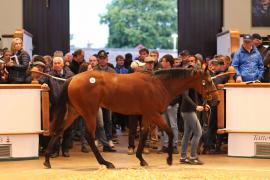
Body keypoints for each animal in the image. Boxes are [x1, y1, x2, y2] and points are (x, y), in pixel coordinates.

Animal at [42, 67, 219, 169]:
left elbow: (144, 134)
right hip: (89, 113)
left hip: (74, 112)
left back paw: (47, 160)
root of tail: (73, 78)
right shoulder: (154, 114)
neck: (159, 84)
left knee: (58, 130)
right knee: (90, 137)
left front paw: (141, 159)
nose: (216, 100)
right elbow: (170, 132)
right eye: (208, 81)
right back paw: (106, 163)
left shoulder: (147, 115)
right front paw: (169, 159)